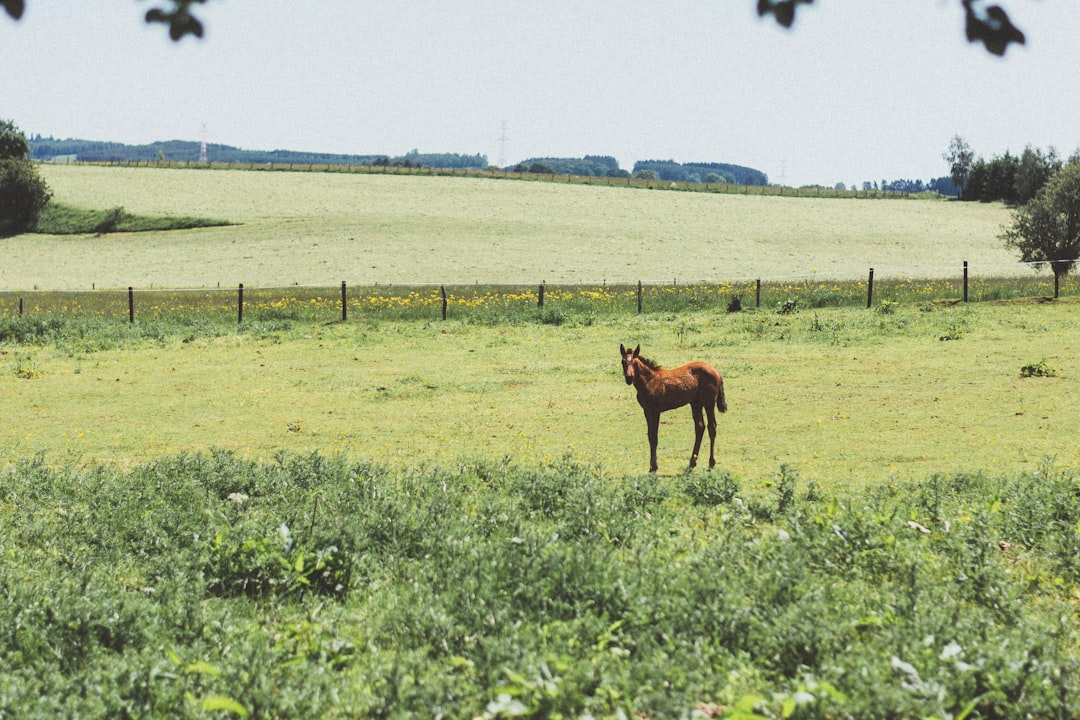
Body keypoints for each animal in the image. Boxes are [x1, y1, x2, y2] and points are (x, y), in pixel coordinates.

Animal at [622, 345, 730, 474]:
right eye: (623, 362)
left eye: (634, 363)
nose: (629, 378)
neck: (649, 381)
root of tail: (716, 371)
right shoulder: (647, 411)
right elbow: (650, 436)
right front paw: (653, 466)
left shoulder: (655, 411)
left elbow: (654, 437)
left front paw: (653, 466)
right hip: (696, 403)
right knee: (700, 427)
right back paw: (692, 463)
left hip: (709, 403)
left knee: (711, 427)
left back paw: (711, 463)